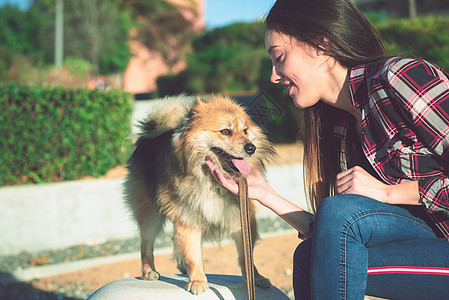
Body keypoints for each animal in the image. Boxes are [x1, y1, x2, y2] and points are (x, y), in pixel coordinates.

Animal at [124, 95, 274, 294]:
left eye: (245, 131)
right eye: (225, 131)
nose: (251, 148)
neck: (210, 180)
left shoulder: (241, 218)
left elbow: (246, 256)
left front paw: (255, 278)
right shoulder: (188, 218)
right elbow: (193, 255)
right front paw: (197, 280)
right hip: (150, 215)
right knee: (146, 244)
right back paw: (148, 271)